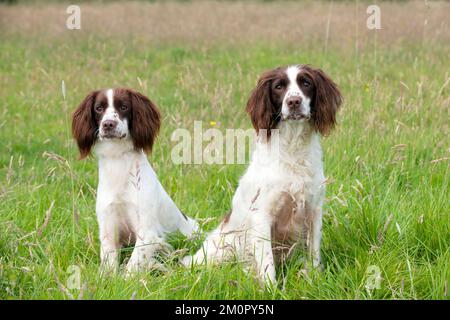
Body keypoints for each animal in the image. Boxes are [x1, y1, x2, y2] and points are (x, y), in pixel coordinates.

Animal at [72, 89, 199, 274]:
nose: (108, 124)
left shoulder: (147, 232)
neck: (118, 160)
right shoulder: (108, 230)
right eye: (99, 108)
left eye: (124, 107)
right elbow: (108, 266)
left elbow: (133, 264)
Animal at [182, 65, 342, 284]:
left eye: (306, 83)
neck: (292, 148)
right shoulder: (262, 215)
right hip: (223, 250)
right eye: (279, 87)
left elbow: (314, 254)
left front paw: (315, 281)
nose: (293, 102)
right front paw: (270, 287)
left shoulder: (313, 210)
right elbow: (267, 263)